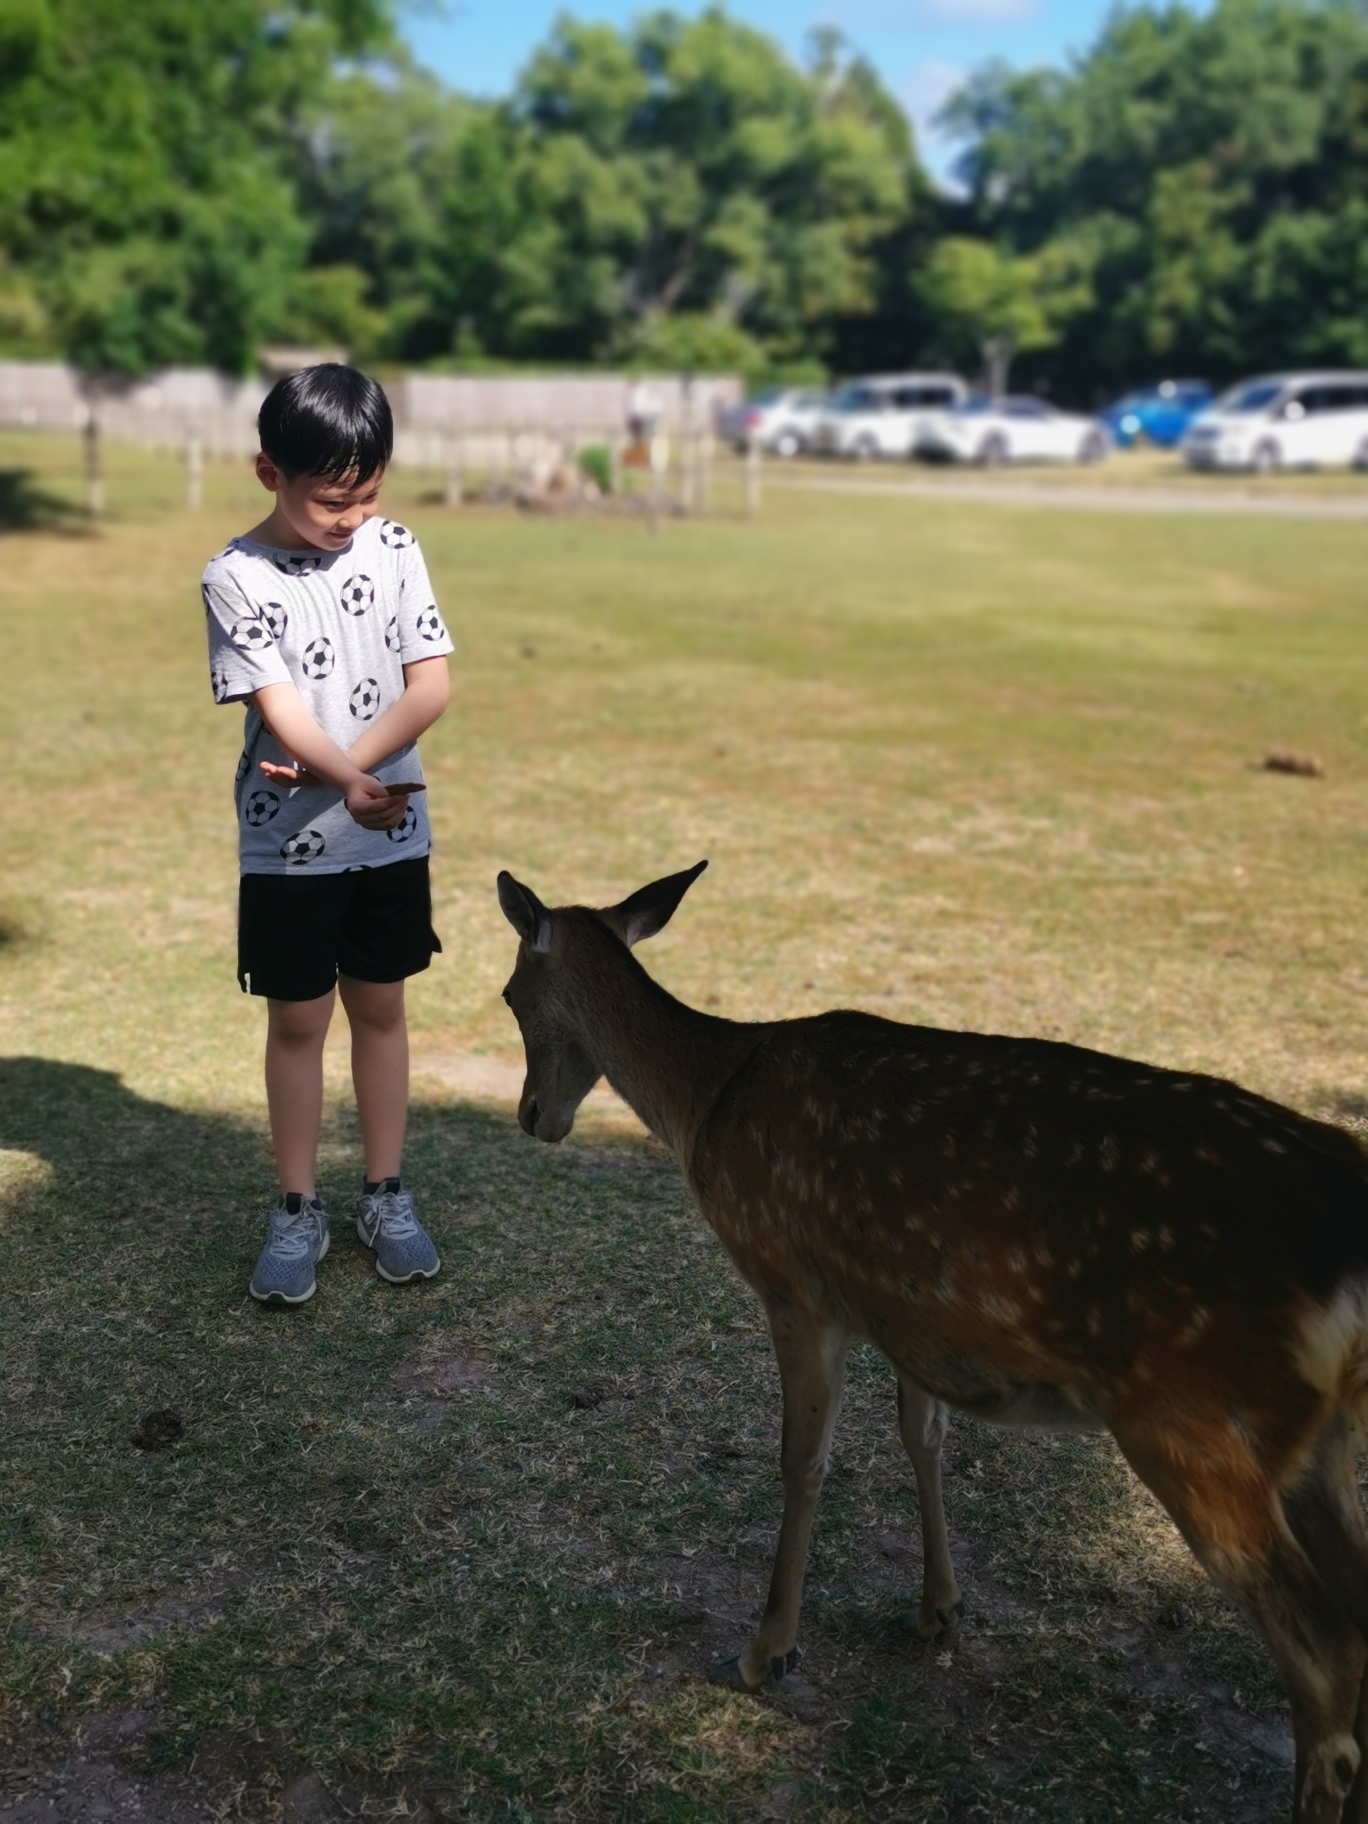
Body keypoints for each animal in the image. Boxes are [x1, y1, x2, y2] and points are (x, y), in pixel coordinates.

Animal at [499, 860, 1368, 1816]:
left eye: (509, 994)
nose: (532, 1116)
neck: (708, 1100)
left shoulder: (795, 1283)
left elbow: (802, 1462)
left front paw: (767, 1652)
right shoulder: (903, 1309)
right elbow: (924, 1437)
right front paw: (939, 1611)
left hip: (1192, 1419)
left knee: (1323, 1658)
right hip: (1317, 1437)